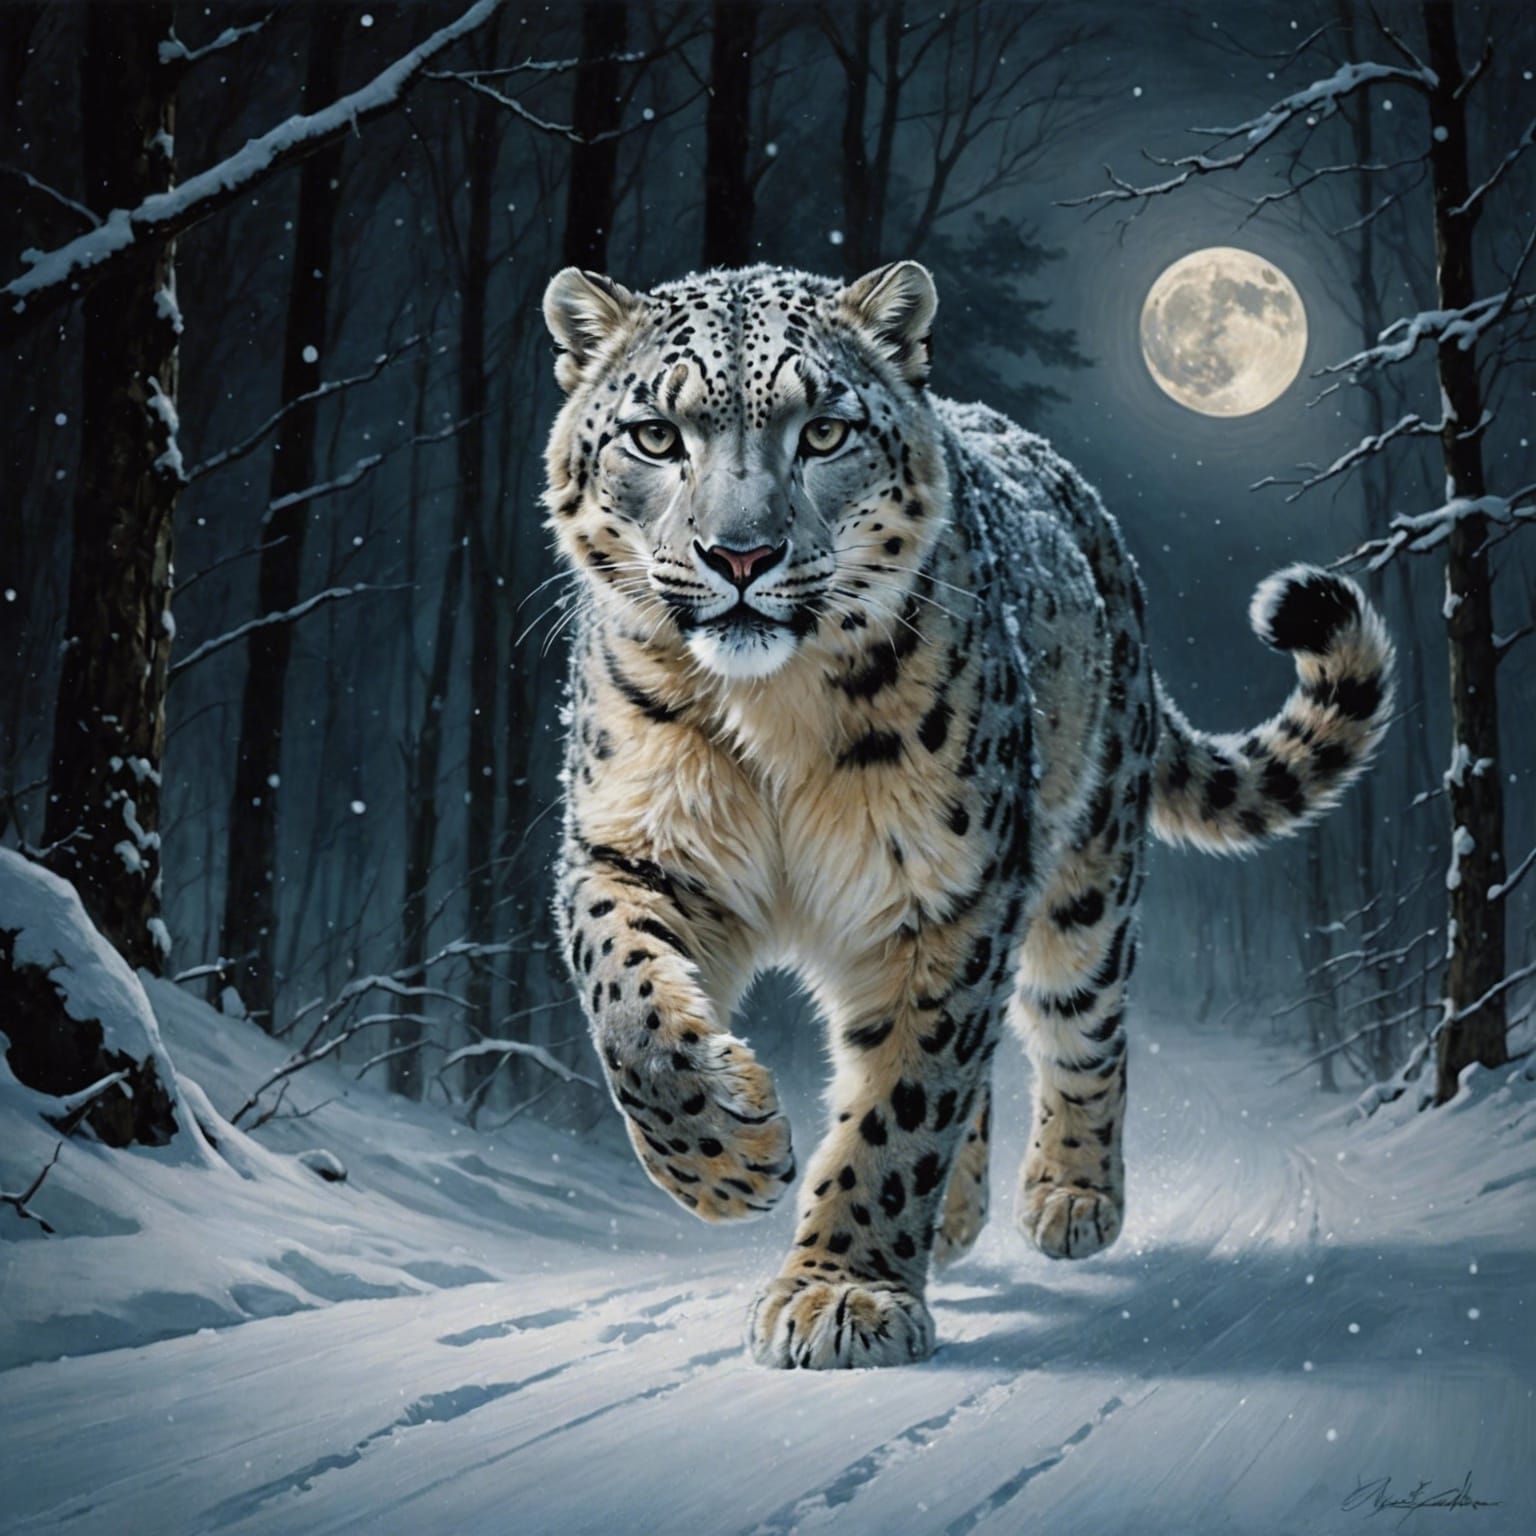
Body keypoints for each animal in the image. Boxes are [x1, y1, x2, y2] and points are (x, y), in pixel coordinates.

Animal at [539, 260, 1393, 1370]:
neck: (772, 715)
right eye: (654, 435)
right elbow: (630, 1009)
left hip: (1084, 876)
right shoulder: (631, 848)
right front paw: (730, 1160)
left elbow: (906, 1097)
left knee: (1077, 1026)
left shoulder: (948, 887)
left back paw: (1071, 1199)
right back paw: (946, 1216)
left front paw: (843, 1292)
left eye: (824, 432)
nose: (741, 556)